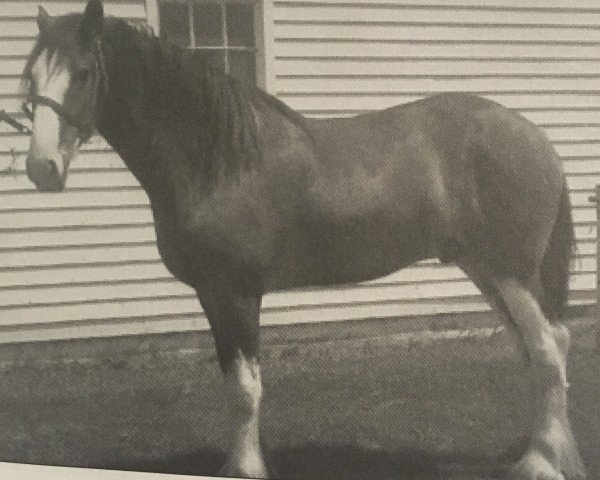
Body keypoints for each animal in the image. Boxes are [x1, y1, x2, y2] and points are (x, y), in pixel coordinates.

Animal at [22, 1, 584, 478]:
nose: (40, 168)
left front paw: (246, 468)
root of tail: (536, 138)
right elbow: (233, 379)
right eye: (30, 77)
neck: (221, 161)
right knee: (536, 350)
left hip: (511, 272)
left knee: (547, 348)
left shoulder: (237, 292)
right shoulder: (212, 295)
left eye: (83, 72)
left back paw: (540, 463)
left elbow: (246, 388)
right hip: (486, 271)